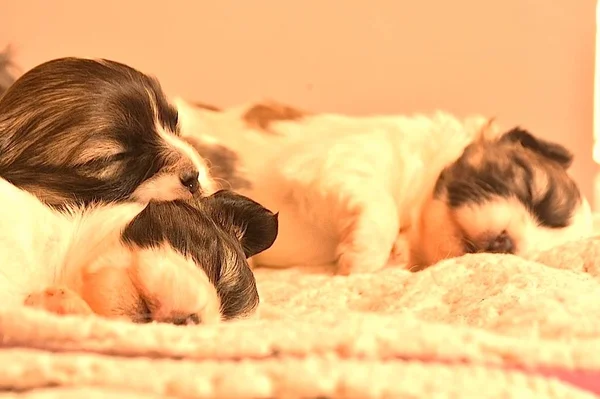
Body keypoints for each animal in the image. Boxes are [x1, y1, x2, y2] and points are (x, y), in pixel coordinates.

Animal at [172, 99, 592, 276]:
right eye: (530, 186)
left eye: (530, 257)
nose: (506, 244)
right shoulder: (339, 159)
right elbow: (381, 209)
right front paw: (360, 258)